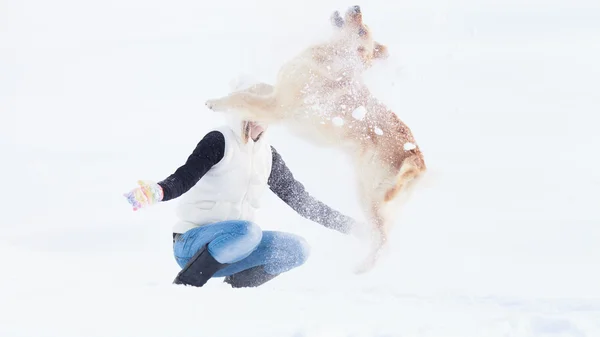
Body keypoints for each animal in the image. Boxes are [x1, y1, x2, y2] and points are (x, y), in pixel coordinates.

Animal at [206, 5, 426, 272]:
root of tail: (416, 158)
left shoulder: (277, 107)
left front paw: (217, 103)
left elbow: (243, 98)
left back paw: (361, 270)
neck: (330, 57)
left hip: (368, 194)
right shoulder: (276, 92)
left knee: (383, 239)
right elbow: (253, 89)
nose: (357, 7)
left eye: (362, 31)